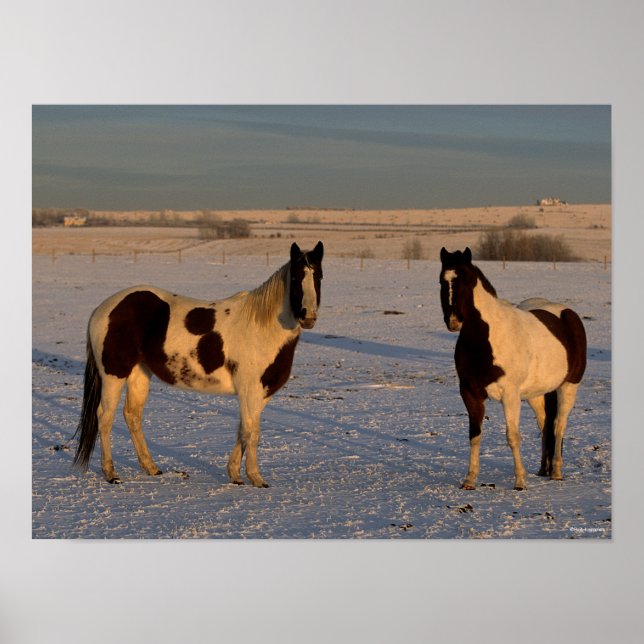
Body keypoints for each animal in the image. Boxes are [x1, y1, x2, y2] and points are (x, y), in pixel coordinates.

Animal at [73, 241, 324, 487]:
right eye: (296, 278)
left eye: (319, 276)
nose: (308, 316)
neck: (261, 327)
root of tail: (103, 309)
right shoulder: (250, 390)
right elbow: (252, 433)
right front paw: (256, 478)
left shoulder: (260, 393)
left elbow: (243, 430)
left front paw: (235, 474)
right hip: (113, 375)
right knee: (105, 417)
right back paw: (111, 473)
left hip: (139, 373)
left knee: (132, 415)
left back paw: (151, 467)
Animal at [439, 247, 587, 490]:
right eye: (442, 281)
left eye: (467, 281)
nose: (453, 321)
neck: (487, 339)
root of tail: (567, 314)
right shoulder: (470, 394)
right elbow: (474, 435)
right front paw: (470, 480)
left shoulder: (510, 395)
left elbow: (513, 437)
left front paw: (520, 481)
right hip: (536, 394)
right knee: (545, 425)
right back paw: (543, 469)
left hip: (568, 387)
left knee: (559, 425)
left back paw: (556, 471)